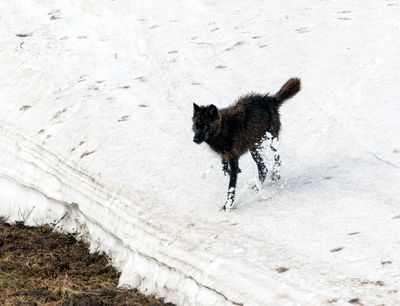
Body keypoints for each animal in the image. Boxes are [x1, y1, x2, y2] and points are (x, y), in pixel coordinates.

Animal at [191, 78, 300, 210]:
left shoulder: (234, 159)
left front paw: (227, 206)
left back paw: (276, 174)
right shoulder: (226, 155)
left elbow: (231, 185)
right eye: (196, 126)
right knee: (263, 168)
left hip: (271, 141)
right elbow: (225, 167)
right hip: (253, 148)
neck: (225, 129)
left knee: (277, 157)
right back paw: (257, 186)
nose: (195, 139)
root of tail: (270, 99)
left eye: (206, 126)